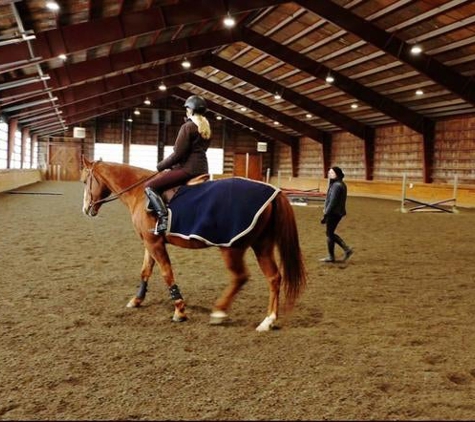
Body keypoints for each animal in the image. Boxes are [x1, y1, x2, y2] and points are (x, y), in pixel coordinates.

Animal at [80, 157, 306, 332]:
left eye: (85, 181)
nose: (86, 209)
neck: (139, 192)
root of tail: (274, 191)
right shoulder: (149, 241)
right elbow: (145, 271)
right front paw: (136, 300)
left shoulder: (154, 243)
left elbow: (166, 273)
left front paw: (179, 310)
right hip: (262, 246)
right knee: (274, 278)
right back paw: (268, 321)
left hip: (232, 248)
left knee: (240, 277)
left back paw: (219, 313)